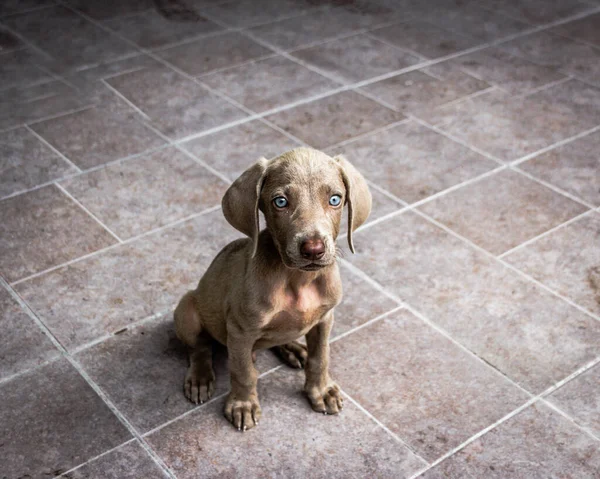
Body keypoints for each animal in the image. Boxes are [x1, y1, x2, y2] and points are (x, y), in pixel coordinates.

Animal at [172, 146, 370, 432]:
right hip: (186, 310)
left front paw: (320, 391)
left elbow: (320, 358)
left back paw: (293, 348)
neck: (298, 280)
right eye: (280, 202)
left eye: (335, 199)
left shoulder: (325, 319)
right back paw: (200, 378)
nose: (313, 249)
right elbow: (243, 373)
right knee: (199, 347)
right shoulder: (240, 331)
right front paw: (242, 405)